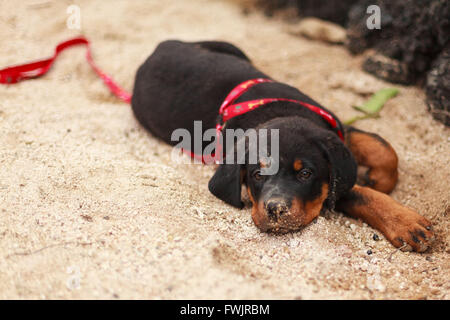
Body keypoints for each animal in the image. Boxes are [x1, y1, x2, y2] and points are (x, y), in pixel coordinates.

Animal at [132, 40, 434, 251]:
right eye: (256, 175)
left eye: (305, 173)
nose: (275, 210)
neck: (281, 113)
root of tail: (157, 49)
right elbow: (359, 193)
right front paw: (407, 223)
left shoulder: (336, 128)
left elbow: (381, 147)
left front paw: (382, 180)